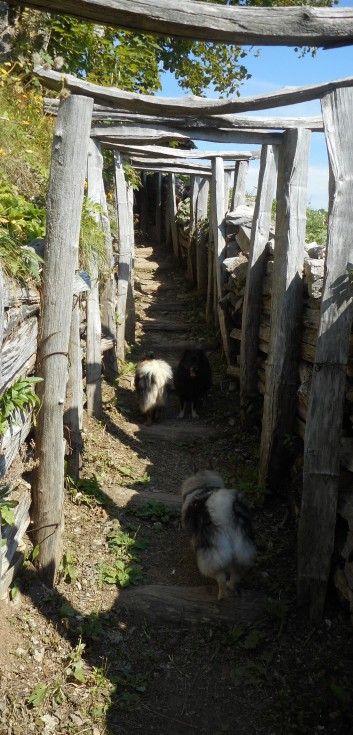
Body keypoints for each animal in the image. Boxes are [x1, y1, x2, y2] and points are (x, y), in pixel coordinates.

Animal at [182, 468, 256, 600]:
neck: (204, 486)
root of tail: (224, 512)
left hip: (211, 559)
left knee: (220, 578)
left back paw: (222, 596)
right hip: (241, 551)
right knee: (235, 574)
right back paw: (230, 586)